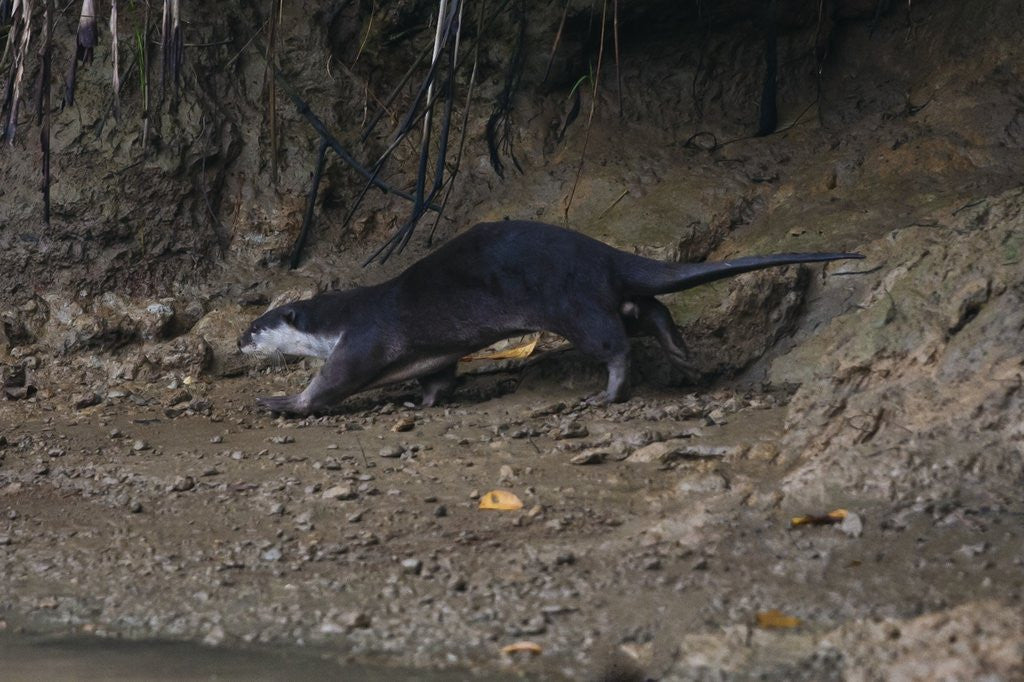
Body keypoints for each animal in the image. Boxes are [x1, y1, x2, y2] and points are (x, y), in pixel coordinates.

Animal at [239, 220, 862, 415]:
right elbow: (438, 376)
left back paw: (608, 393)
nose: (240, 342)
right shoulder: (431, 350)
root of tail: (603, 253)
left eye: (253, 327)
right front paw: (423, 402)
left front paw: (283, 401)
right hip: (599, 294)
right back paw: (680, 352)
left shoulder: (363, 338)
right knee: (646, 308)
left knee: (615, 343)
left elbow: (331, 384)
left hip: (571, 302)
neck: (342, 316)